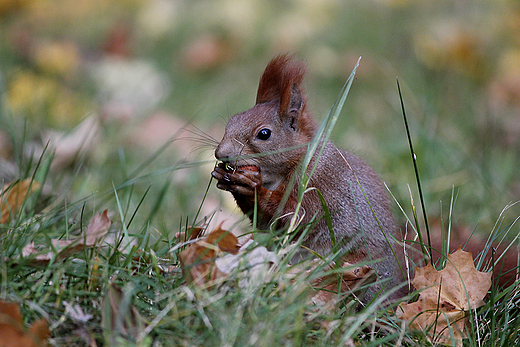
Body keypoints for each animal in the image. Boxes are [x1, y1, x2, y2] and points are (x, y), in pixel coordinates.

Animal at [210, 55, 402, 302]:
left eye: (264, 134)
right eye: (231, 121)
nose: (221, 154)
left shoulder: (320, 184)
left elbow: (299, 216)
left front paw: (254, 189)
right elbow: (269, 224)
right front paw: (225, 178)